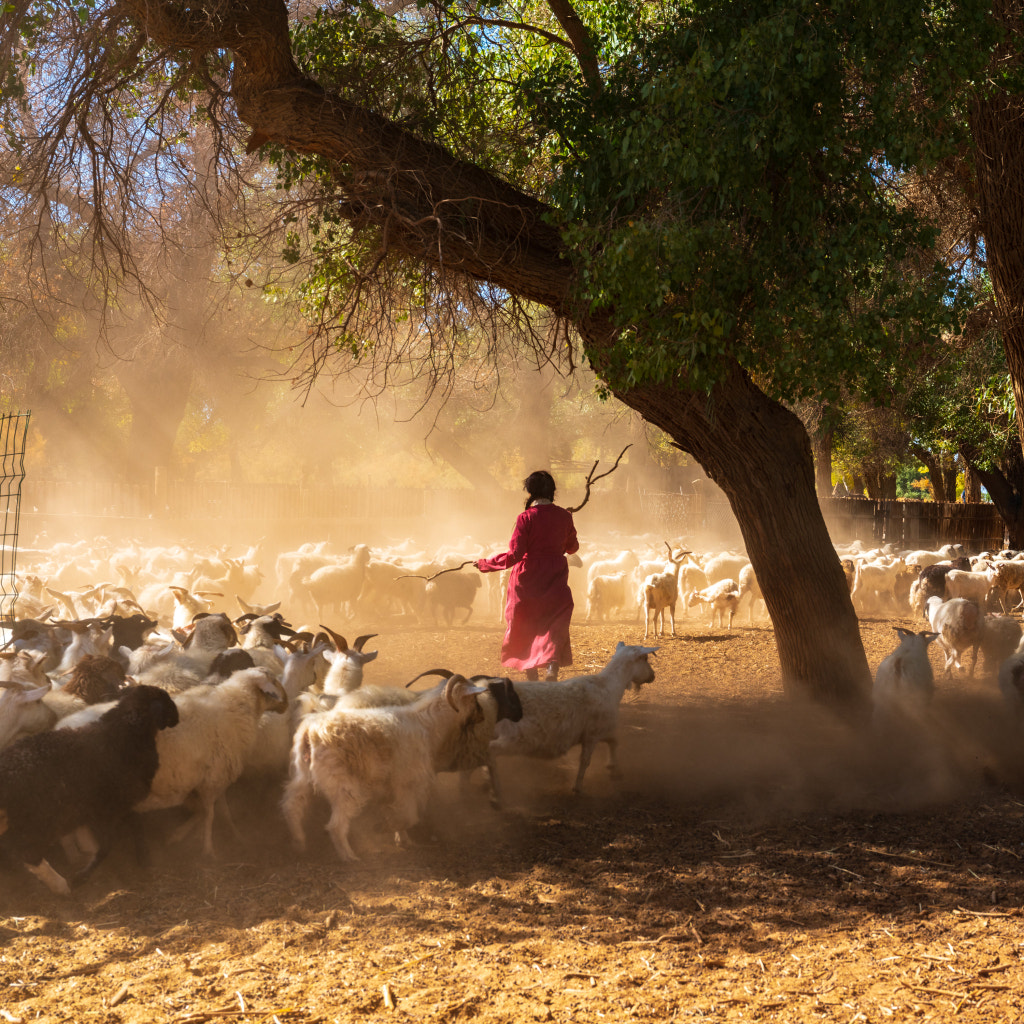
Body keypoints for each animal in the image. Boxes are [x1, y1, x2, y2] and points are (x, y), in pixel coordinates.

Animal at [0, 688, 178, 897]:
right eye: (165, 702)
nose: (177, 717)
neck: (123, 733)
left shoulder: (119, 804)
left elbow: (133, 826)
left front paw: (143, 857)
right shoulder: (108, 808)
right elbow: (106, 846)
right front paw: (82, 876)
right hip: (39, 820)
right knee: (28, 852)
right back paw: (60, 886)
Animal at [135, 663, 288, 856]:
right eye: (274, 682)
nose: (287, 703)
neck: (236, 708)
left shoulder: (216, 778)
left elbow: (222, 811)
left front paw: (235, 835)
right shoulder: (212, 779)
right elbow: (210, 814)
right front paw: (208, 850)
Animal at [278, 675, 489, 860]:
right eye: (474, 699)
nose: (482, 715)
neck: (428, 724)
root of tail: (310, 732)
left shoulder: (393, 787)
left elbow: (402, 813)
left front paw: (403, 839)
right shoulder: (408, 782)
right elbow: (409, 815)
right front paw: (385, 828)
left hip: (301, 777)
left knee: (292, 807)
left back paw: (299, 844)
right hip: (343, 786)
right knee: (335, 825)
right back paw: (349, 857)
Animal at [487, 643, 655, 794]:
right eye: (645, 658)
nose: (653, 676)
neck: (609, 685)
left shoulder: (600, 730)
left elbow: (614, 742)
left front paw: (614, 769)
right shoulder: (592, 734)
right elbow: (585, 761)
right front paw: (578, 787)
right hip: (516, 738)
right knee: (491, 751)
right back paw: (494, 793)